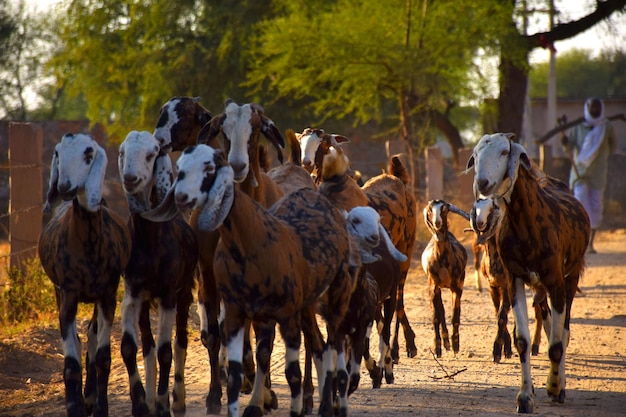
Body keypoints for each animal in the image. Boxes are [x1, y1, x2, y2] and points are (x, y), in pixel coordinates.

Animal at [37, 133, 130, 416]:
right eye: (57, 153)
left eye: (89, 154)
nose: (65, 186)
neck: (88, 244)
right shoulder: (68, 294)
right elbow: (71, 363)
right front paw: (74, 407)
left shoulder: (108, 295)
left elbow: (102, 357)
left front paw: (100, 408)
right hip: (58, 291)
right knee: (80, 340)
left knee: (91, 335)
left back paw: (90, 398)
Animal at [116, 131, 196, 416]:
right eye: (122, 152)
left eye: (152, 154)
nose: (130, 178)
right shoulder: (133, 293)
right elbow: (131, 348)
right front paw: (141, 404)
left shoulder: (169, 294)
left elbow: (165, 351)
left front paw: (163, 404)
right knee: (148, 347)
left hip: (185, 293)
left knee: (180, 340)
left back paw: (178, 400)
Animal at [143, 145, 356, 416]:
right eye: (179, 167)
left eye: (209, 168)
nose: (181, 197)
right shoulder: (238, 311)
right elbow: (236, 369)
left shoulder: (285, 314)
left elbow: (291, 372)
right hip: (299, 307)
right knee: (316, 345)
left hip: (334, 296)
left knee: (330, 346)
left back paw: (328, 404)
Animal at [422, 200, 466, 356]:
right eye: (430, 210)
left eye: (445, 209)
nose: (437, 223)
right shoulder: (433, 286)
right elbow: (436, 317)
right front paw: (437, 348)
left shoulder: (457, 287)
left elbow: (455, 316)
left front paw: (456, 344)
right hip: (437, 289)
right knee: (440, 312)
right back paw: (445, 342)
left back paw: (449, 343)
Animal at [464, 132, 588, 412]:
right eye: (475, 155)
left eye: (503, 152)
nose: (483, 182)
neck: (528, 224)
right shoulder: (515, 280)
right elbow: (521, 339)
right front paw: (524, 397)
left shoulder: (556, 281)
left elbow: (557, 344)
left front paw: (554, 387)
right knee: (548, 321)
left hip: (571, 276)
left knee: (563, 332)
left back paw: (559, 385)